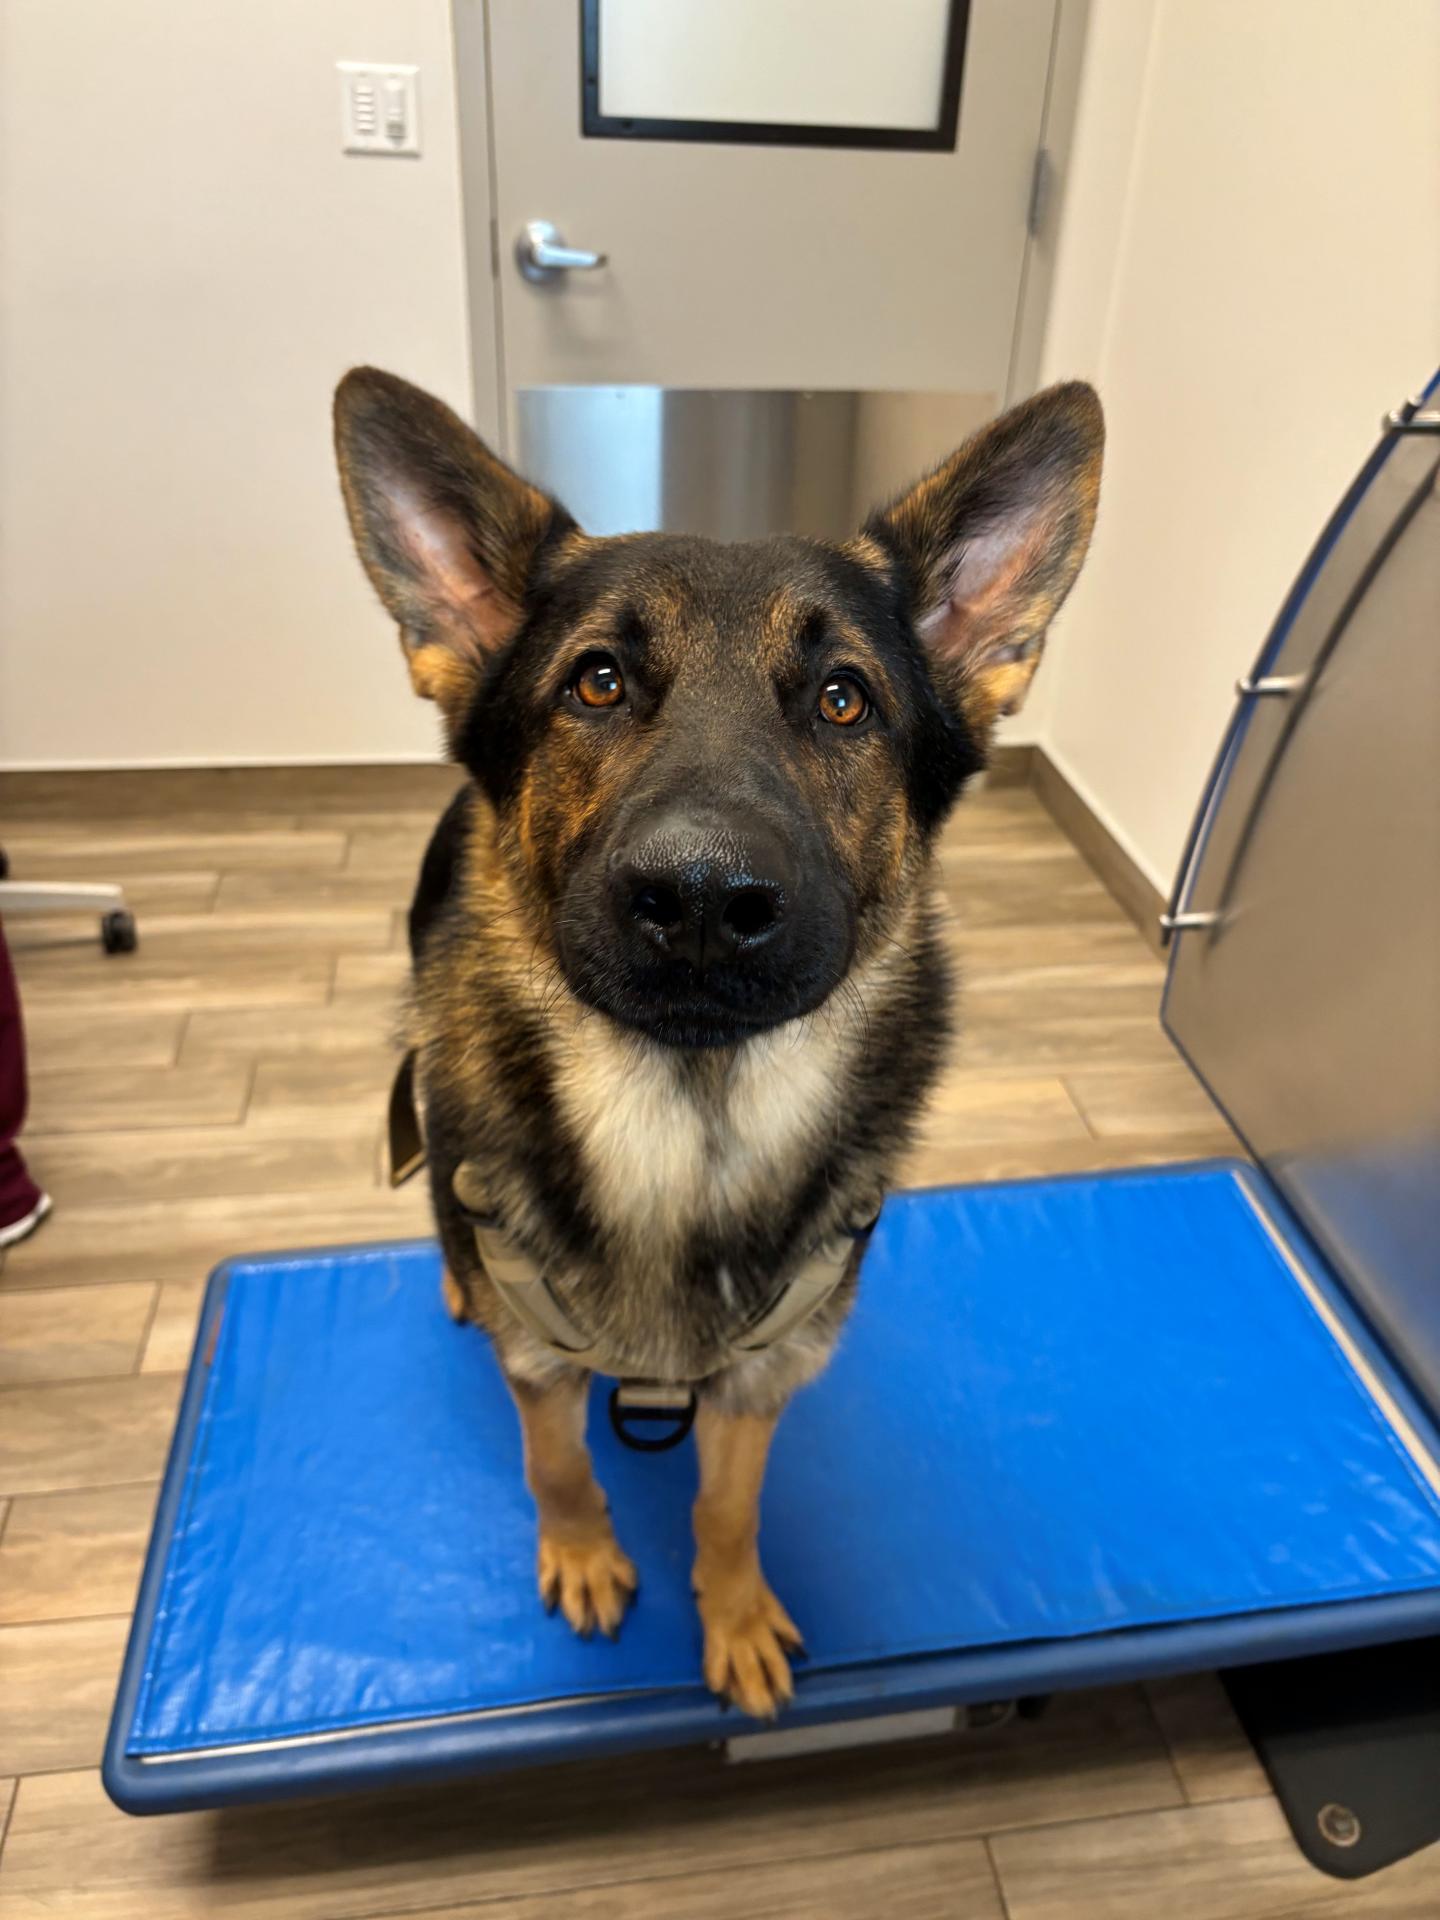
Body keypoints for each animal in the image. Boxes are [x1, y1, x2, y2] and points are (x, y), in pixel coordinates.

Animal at [336, 370, 1105, 1712]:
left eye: (844, 699)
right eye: (596, 682)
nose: (699, 897)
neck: (687, 1126)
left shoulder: (761, 1380)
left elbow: (730, 1510)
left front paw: (734, 1615)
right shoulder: (541, 1365)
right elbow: (555, 1463)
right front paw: (586, 1555)